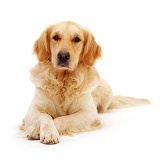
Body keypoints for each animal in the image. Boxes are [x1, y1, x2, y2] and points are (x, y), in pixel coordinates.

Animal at [19, 20, 150, 144]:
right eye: (55, 37)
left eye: (77, 39)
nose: (63, 56)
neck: (64, 80)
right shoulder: (32, 111)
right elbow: (45, 117)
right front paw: (40, 130)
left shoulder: (89, 113)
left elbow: (62, 119)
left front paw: (41, 131)